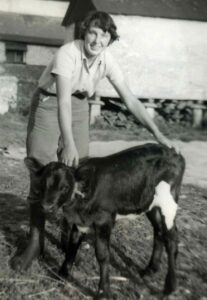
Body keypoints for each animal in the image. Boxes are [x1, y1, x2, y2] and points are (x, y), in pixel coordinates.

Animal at [11, 144, 186, 298]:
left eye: (65, 187)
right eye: (42, 183)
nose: (46, 206)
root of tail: (174, 152)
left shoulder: (104, 219)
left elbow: (102, 255)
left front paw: (104, 292)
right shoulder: (80, 222)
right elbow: (72, 248)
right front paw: (61, 275)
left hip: (168, 201)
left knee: (171, 238)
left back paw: (170, 286)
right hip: (151, 204)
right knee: (158, 231)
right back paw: (150, 270)